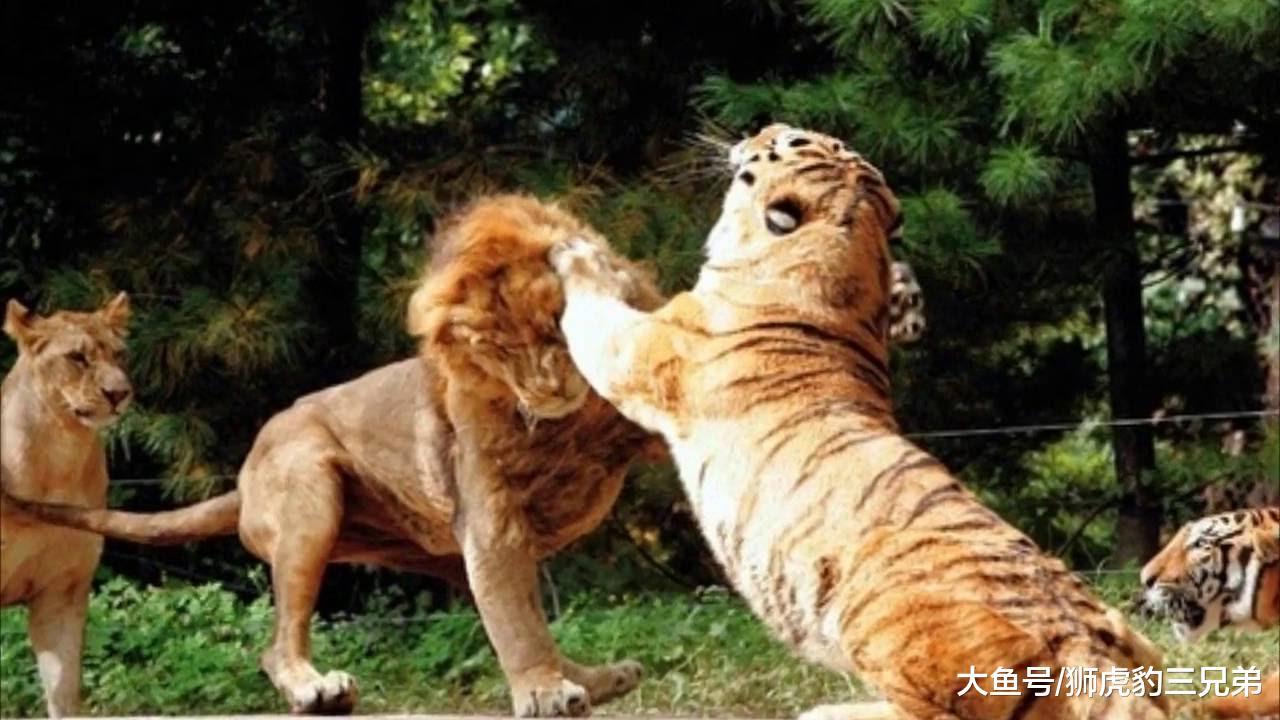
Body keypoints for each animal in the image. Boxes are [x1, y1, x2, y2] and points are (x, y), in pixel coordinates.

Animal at [548, 123, 1171, 720]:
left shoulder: (640, 349)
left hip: (877, 614)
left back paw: (829, 711)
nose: (751, 132)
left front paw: (572, 253)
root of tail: (1082, 650)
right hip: (1143, 648)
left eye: (785, 140)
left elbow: (595, 314)